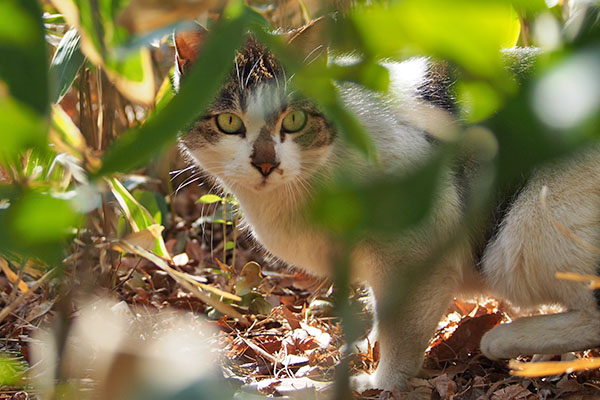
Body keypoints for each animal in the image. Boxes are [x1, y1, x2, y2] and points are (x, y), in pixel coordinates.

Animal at [171, 18, 600, 390]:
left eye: (293, 120)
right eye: (229, 122)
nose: (265, 163)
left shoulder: (415, 254)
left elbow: (401, 330)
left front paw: (380, 382)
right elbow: (381, 313)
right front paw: (364, 347)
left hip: (529, 230)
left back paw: (506, 339)